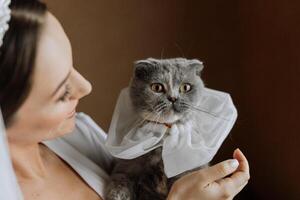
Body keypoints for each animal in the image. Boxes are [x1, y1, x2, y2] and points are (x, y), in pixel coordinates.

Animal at [105, 57, 206, 200]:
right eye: (157, 87)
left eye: (186, 87)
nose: (173, 98)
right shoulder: (126, 164)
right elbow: (120, 176)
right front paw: (118, 193)